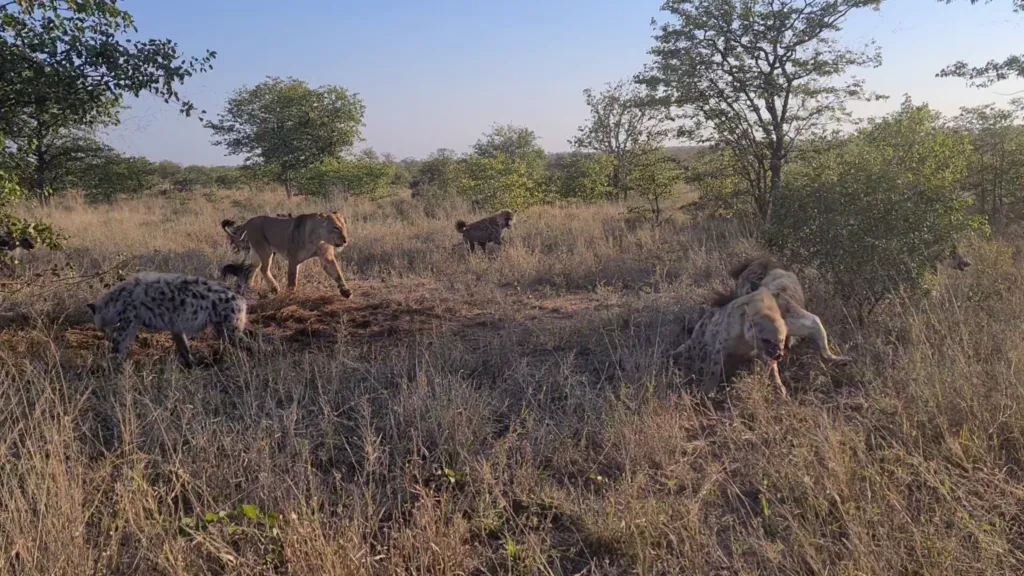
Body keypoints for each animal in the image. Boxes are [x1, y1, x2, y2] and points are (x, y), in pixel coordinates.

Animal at [220, 211, 353, 298]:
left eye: (344, 227)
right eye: (336, 228)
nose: (346, 240)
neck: (318, 239)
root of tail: (249, 221)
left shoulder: (327, 258)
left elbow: (337, 273)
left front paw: (345, 291)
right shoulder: (293, 259)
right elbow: (292, 278)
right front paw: (290, 294)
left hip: (256, 253)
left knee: (251, 268)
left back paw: (249, 286)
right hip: (265, 250)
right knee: (263, 269)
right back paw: (274, 288)